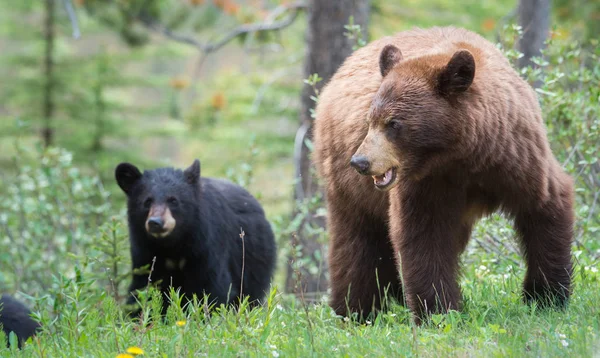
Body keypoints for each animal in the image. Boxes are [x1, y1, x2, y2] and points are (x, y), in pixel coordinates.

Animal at [115, 159, 276, 316]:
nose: (155, 222)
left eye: (173, 200)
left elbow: (213, 286)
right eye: (147, 201)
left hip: (253, 260)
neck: (172, 244)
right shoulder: (145, 250)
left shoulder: (205, 244)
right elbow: (144, 285)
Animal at [312, 26, 576, 324]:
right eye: (371, 120)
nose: (360, 162)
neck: (463, 156)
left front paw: (547, 297)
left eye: (394, 123)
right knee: (357, 245)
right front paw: (438, 312)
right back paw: (355, 310)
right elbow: (424, 236)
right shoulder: (427, 184)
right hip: (348, 188)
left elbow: (545, 205)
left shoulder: (515, 156)